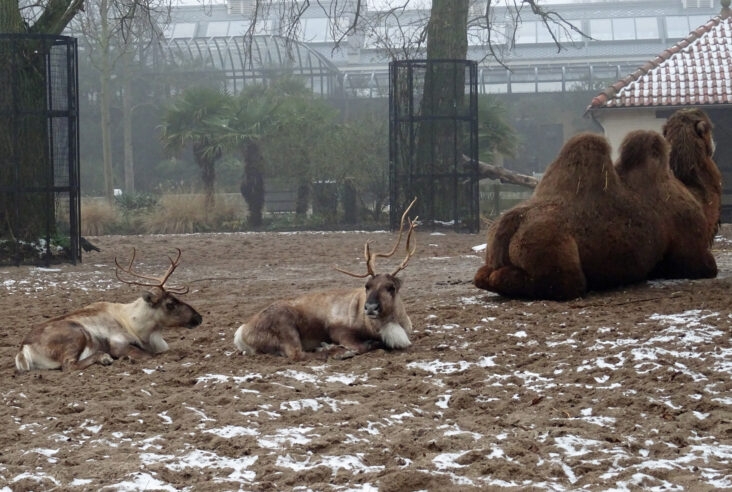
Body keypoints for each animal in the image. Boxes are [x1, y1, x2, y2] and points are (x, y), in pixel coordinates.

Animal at [15, 248, 202, 373]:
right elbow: (151, 356)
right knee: (69, 365)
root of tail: (23, 349)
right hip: (76, 334)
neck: (140, 328)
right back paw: (104, 358)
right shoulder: (119, 344)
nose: (198, 317)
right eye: (170, 303)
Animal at [234, 198, 418, 361]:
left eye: (391, 287)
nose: (371, 307)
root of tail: (242, 333)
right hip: (286, 326)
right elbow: (364, 345)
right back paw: (336, 351)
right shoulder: (337, 329)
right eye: (367, 286)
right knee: (297, 354)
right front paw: (335, 347)